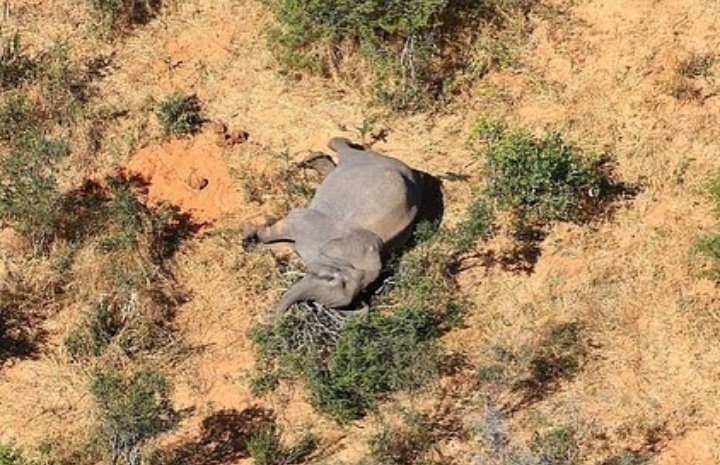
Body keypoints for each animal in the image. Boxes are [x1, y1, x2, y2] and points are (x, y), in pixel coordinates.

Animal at [243, 137, 424, 311]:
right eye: (330, 278)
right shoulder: (312, 224)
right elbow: (282, 228)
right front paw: (247, 236)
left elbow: (285, 243)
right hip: (368, 160)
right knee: (343, 149)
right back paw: (314, 158)